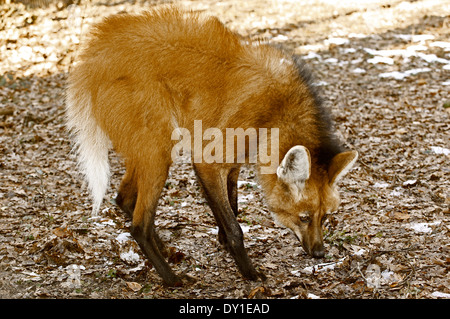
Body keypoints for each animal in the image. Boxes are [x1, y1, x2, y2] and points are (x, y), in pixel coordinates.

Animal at [65, 6, 356, 288]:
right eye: (304, 217)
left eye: (325, 217)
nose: (319, 253)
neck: (277, 112)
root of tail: (96, 56)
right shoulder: (208, 160)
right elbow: (235, 225)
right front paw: (249, 272)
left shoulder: (234, 162)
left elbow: (231, 207)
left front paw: (223, 241)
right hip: (160, 150)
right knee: (139, 226)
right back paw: (173, 279)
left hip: (147, 149)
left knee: (124, 198)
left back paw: (166, 251)